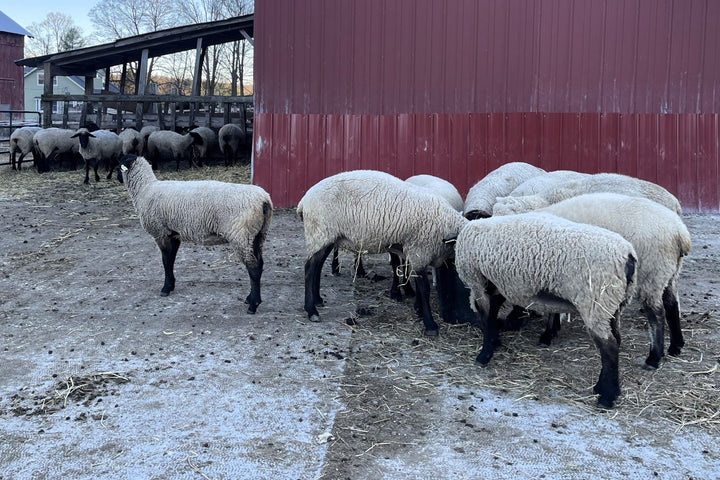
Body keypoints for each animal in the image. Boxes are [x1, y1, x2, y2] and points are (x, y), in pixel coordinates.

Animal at [118, 155, 273, 313]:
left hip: (241, 234)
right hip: (258, 235)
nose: (117, 178)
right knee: (259, 264)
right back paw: (250, 298)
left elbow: (166, 261)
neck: (145, 188)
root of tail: (264, 200)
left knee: (253, 267)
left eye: (118, 165)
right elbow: (171, 260)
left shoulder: (161, 232)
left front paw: (166, 288)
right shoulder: (174, 233)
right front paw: (171, 284)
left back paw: (253, 304)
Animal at [297, 170, 469, 335]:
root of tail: (303, 201)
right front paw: (430, 325)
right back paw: (312, 311)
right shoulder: (420, 251)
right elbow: (424, 288)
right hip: (320, 231)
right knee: (309, 269)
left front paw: (419, 309)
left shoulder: (414, 252)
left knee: (317, 266)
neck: (445, 223)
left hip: (327, 237)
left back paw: (318, 300)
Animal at [455, 212, 637, 408]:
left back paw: (607, 397)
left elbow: (487, 320)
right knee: (615, 341)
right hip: (613, 305)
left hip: (596, 303)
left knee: (609, 347)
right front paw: (495, 343)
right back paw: (602, 388)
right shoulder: (497, 285)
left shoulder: (479, 284)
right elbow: (492, 316)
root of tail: (628, 254)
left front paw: (484, 355)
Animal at [534, 193, 691, 369]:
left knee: (656, 314)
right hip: (669, 273)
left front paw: (547, 335)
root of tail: (680, 232)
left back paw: (653, 358)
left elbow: (551, 310)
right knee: (672, 305)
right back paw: (676, 346)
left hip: (652, 273)